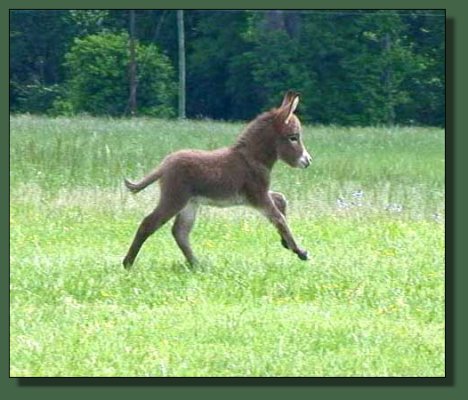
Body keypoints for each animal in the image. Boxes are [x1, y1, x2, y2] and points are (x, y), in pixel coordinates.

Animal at [124, 91, 312, 268]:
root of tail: (164, 164)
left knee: (180, 232)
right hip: (174, 199)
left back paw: (197, 265)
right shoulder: (258, 196)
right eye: (293, 137)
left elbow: (281, 199)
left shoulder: (258, 194)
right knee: (149, 224)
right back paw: (128, 264)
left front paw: (286, 244)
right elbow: (279, 219)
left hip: (190, 203)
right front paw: (300, 251)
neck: (250, 158)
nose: (308, 161)